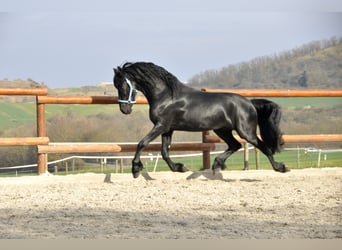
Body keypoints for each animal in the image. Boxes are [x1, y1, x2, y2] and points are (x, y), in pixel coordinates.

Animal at [113, 61, 290, 178]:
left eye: (122, 85)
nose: (125, 110)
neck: (166, 96)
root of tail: (249, 103)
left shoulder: (161, 126)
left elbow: (142, 143)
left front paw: (135, 169)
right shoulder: (168, 129)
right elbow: (164, 151)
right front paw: (179, 168)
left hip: (246, 132)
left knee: (263, 147)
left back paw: (281, 167)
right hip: (222, 130)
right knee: (235, 145)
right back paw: (217, 164)